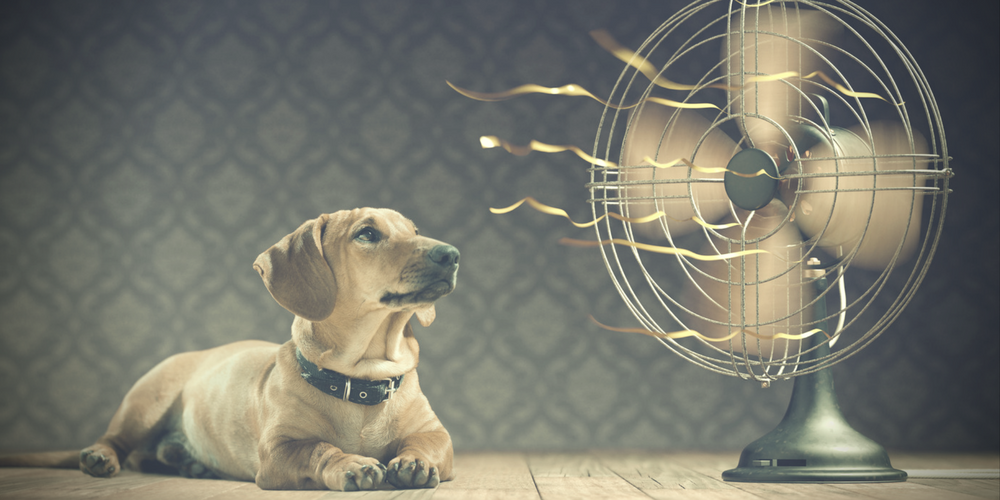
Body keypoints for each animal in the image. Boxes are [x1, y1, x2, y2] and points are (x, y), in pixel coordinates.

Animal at [0, 208, 458, 492]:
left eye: (414, 231)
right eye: (367, 234)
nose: (451, 254)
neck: (359, 381)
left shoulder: (436, 434)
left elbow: (425, 443)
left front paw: (414, 463)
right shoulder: (278, 451)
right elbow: (319, 448)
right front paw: (351, 463)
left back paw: (187, 462)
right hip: (145, 403)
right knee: (117, 442)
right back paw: (101, 457)